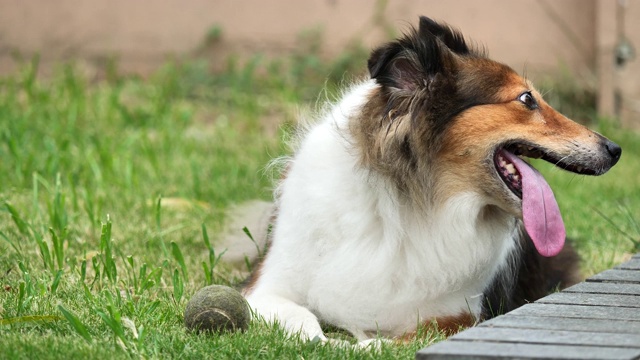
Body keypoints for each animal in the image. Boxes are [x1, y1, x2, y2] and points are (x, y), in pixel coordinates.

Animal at [241, 16, 620, 344]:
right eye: (527, 99)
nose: (615, 149)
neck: (408, 204)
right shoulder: (264, 288)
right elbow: (303, 322)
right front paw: (327, 342)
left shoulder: (454, 316)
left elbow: (385, 343)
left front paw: (356, 345)